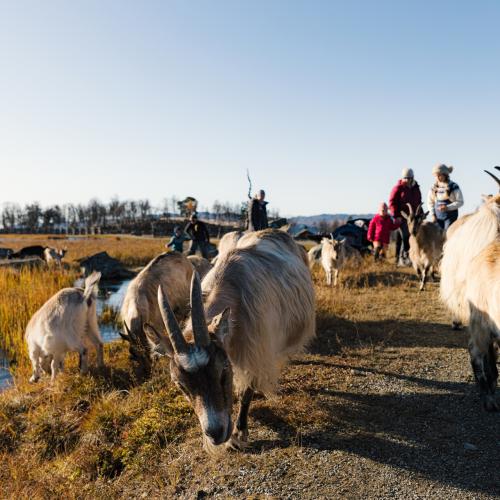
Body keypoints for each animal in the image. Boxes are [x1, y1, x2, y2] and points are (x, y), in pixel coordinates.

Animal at [146, 229, 316, 452]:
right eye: (180, 385)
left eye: (222, 372)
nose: (215, 434)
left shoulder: (255, 351)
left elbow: (247, 390)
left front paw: (239, 433)